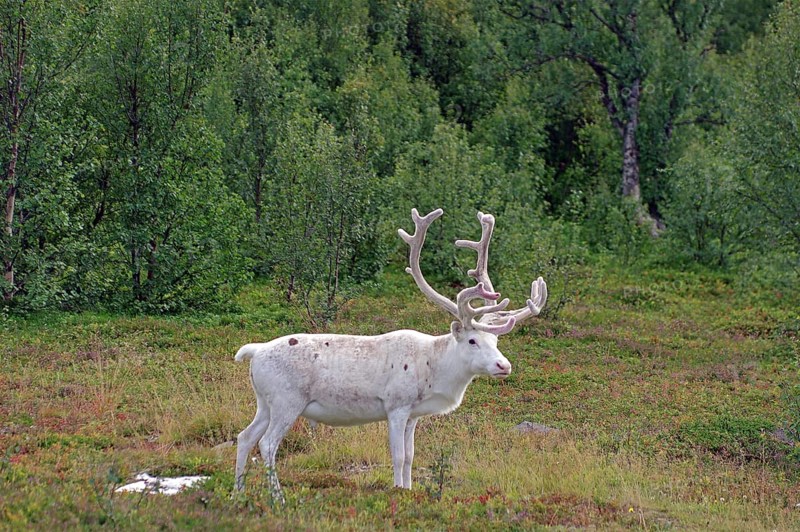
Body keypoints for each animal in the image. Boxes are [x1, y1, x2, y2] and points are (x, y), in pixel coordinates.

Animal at [233, 208, 547, 496]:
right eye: (472, 341)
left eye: (496, 341)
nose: (504, 366)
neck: (435, 369)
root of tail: (254, 352)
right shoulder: (396, 405)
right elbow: (398, 456)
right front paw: (398, 490)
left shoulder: (413, 415)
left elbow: (410, 457)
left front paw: (408, 489)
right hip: (287, 400)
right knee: (267, 444)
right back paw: (277, 497)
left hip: (265, 402)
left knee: (244, 436)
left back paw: (238, 492)